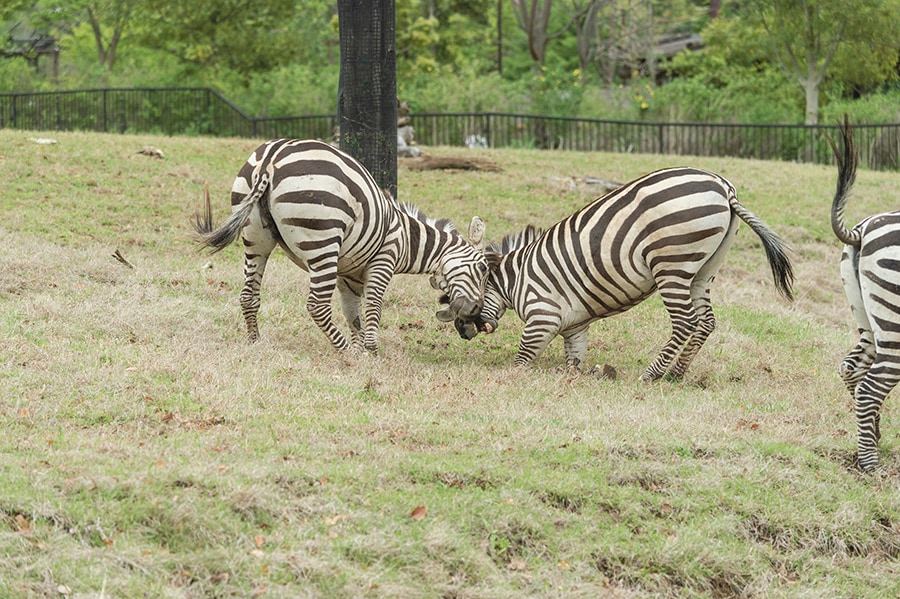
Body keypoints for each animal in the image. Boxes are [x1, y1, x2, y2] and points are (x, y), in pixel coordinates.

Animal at [194, 139, 488, 356]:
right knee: (317, 305)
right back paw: (343, 352)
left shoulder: (349, 275)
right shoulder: (383, 261)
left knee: (248, 295)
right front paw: (369, 351)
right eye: (484, 269)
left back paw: (255, 341)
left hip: (256, 237)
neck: (406, 239)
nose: (476, 313)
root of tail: (271, 158)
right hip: (322, 241)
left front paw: (360, 349)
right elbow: (373, 305)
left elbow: (352, 313)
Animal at [442, 166, 796, 382]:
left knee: (685, 322)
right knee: (706, 322)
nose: (462, 331)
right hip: (704, 270)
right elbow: (573, 360)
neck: (515, 280)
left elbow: (522, 358)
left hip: (672, 265)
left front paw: (513, 375)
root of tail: (724, 187)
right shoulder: (575, 326)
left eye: (458, 295)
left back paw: (652, 375)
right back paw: (677, 374)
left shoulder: (542, 317)